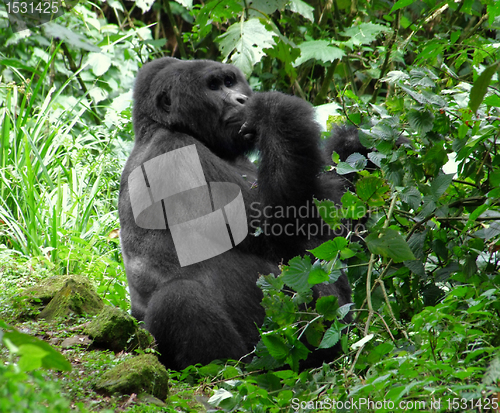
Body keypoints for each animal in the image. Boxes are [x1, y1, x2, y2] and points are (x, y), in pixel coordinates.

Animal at [117, 56, 360, 368]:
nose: (241, 100)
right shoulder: (176, 151)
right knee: (177, 299)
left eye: (230, 81)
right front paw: (274, 110)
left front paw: (354, 145)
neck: (156, 126)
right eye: (213, 86)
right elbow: (276, 230)